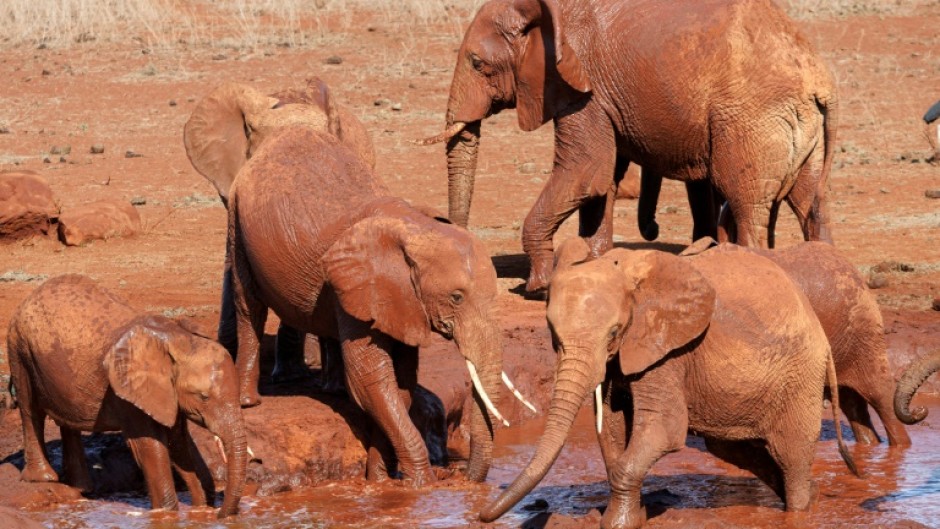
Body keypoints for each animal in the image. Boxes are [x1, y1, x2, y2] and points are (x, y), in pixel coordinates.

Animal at [6, 275, 246, 518]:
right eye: (203, 397)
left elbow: (179, 442)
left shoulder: (167, 394)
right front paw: (166, 514)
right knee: (30, 409)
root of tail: (28, 297)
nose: (220, 514)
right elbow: (149, 447)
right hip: (19, 347)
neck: (177, 338)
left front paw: (200, 509)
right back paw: (43, 478)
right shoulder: (127, 393)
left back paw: (81, 487)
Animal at [420, 0, 837, 293]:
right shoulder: (601, 96)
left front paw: (537, 285)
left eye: (478, 63)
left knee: (747, 204)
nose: (462, 245)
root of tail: (819, 83)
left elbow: (586, 171)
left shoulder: (581, 86)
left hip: (750, 121)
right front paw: (591, 263)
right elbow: (602, 179)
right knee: (810, 206)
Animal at [481, 241, 857, 529]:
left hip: (800, 376)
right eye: (553, 334)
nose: (482, 516)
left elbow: (664, 429)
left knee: (790, 455)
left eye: (614, 332)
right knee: (738, 450)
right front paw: (631, 517)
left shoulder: (666, 351)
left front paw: (617, 523)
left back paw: (801, 508)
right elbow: (613, 430)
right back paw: (814, 494)